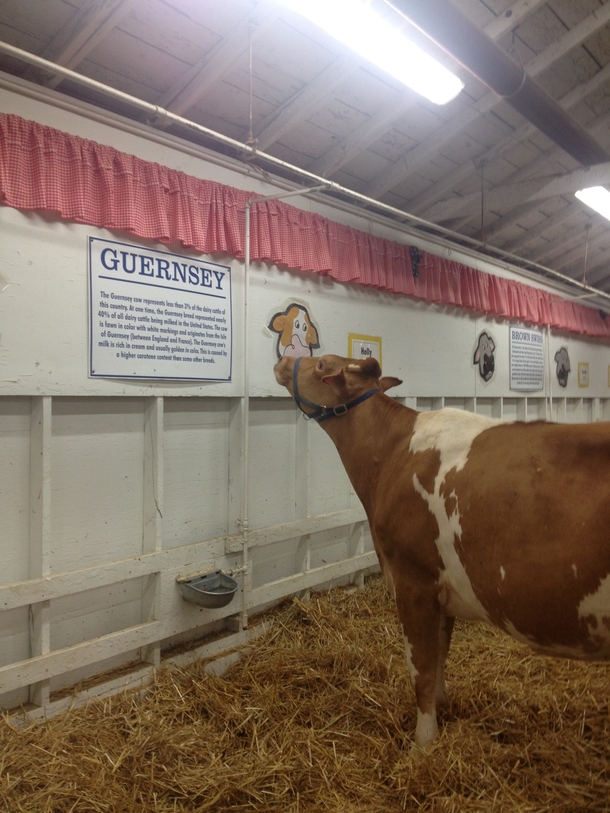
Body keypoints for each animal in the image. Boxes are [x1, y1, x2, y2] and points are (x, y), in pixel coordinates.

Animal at [274, 354, 608, 748]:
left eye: (323, 364)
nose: (283, 359)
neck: (391, 454)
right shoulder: (443, 591)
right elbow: (439, 657)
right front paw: (443, 707)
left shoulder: (413, 582)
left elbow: (420, 666)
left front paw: (423, 742)